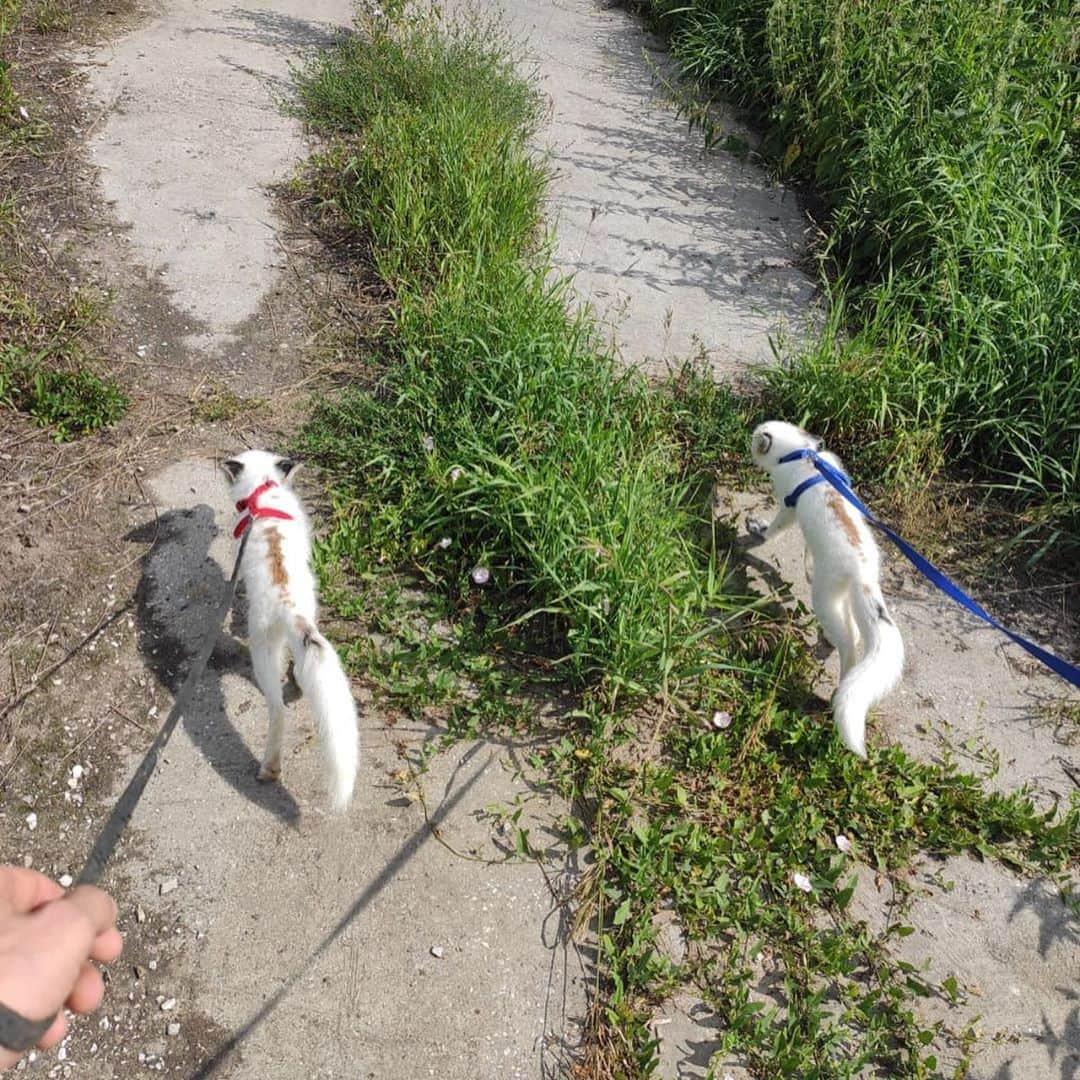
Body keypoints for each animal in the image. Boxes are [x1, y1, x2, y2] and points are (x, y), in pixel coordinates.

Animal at [222, 447, 358, 812]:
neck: (262, 491)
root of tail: (289, 606)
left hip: (263, 651)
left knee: (277, 708)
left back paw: (269, 767)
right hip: (308, 618)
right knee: (297, 671)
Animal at [743, 416, 902, 756]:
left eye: (754, 438)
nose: (748, 440)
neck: (802, 454)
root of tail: (864, 573)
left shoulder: (788, 508)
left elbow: (774, 528)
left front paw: (759, 530)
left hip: (825, 597)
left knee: (850, 642)